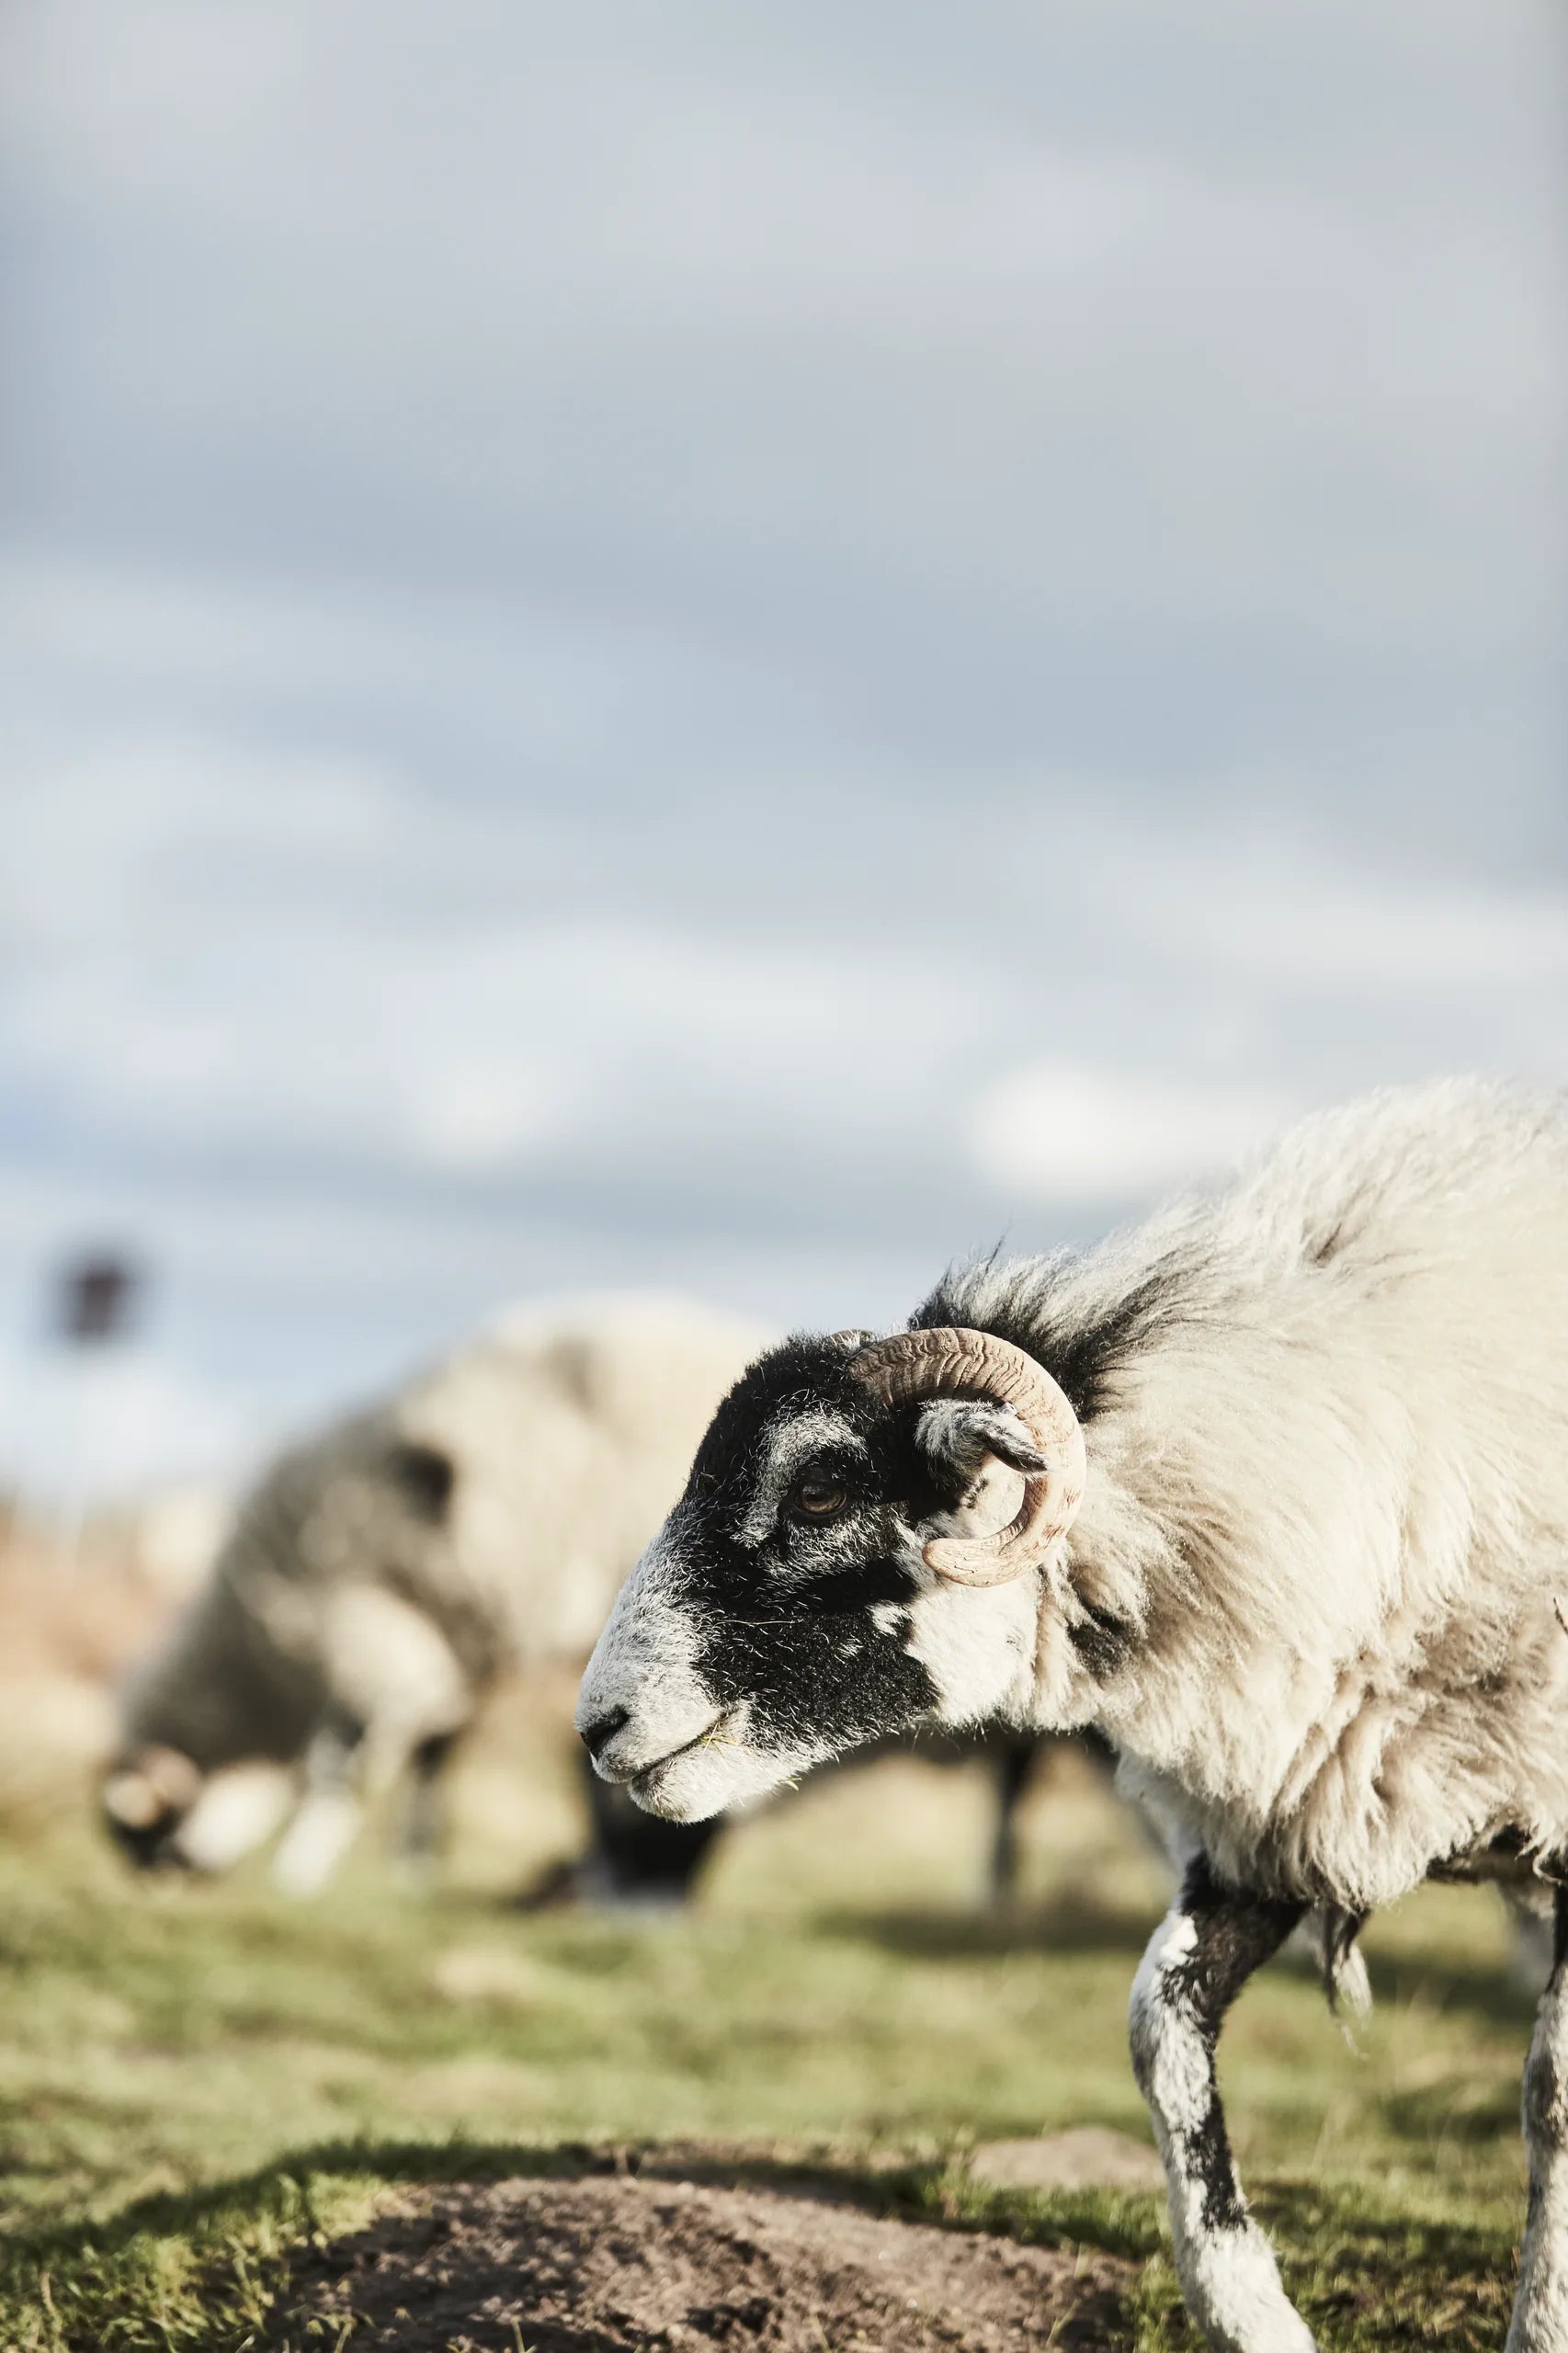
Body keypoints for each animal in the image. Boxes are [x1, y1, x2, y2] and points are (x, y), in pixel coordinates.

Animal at [103, 1295, 767, 1892]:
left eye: (142, 1835)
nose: (151, 1888)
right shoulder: (447, 1646)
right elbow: (435, 1756)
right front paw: (413, 1867)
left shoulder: (358, 1637)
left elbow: (336, 1770)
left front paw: (299, 1872)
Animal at [577, 1080, 1568, 2353]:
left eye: (823, 1486)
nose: (598, 1724)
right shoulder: (1273, 1809)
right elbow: (1159, 2027)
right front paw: (1252, 2314)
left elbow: (1550, 2089)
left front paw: (1540, 2317)